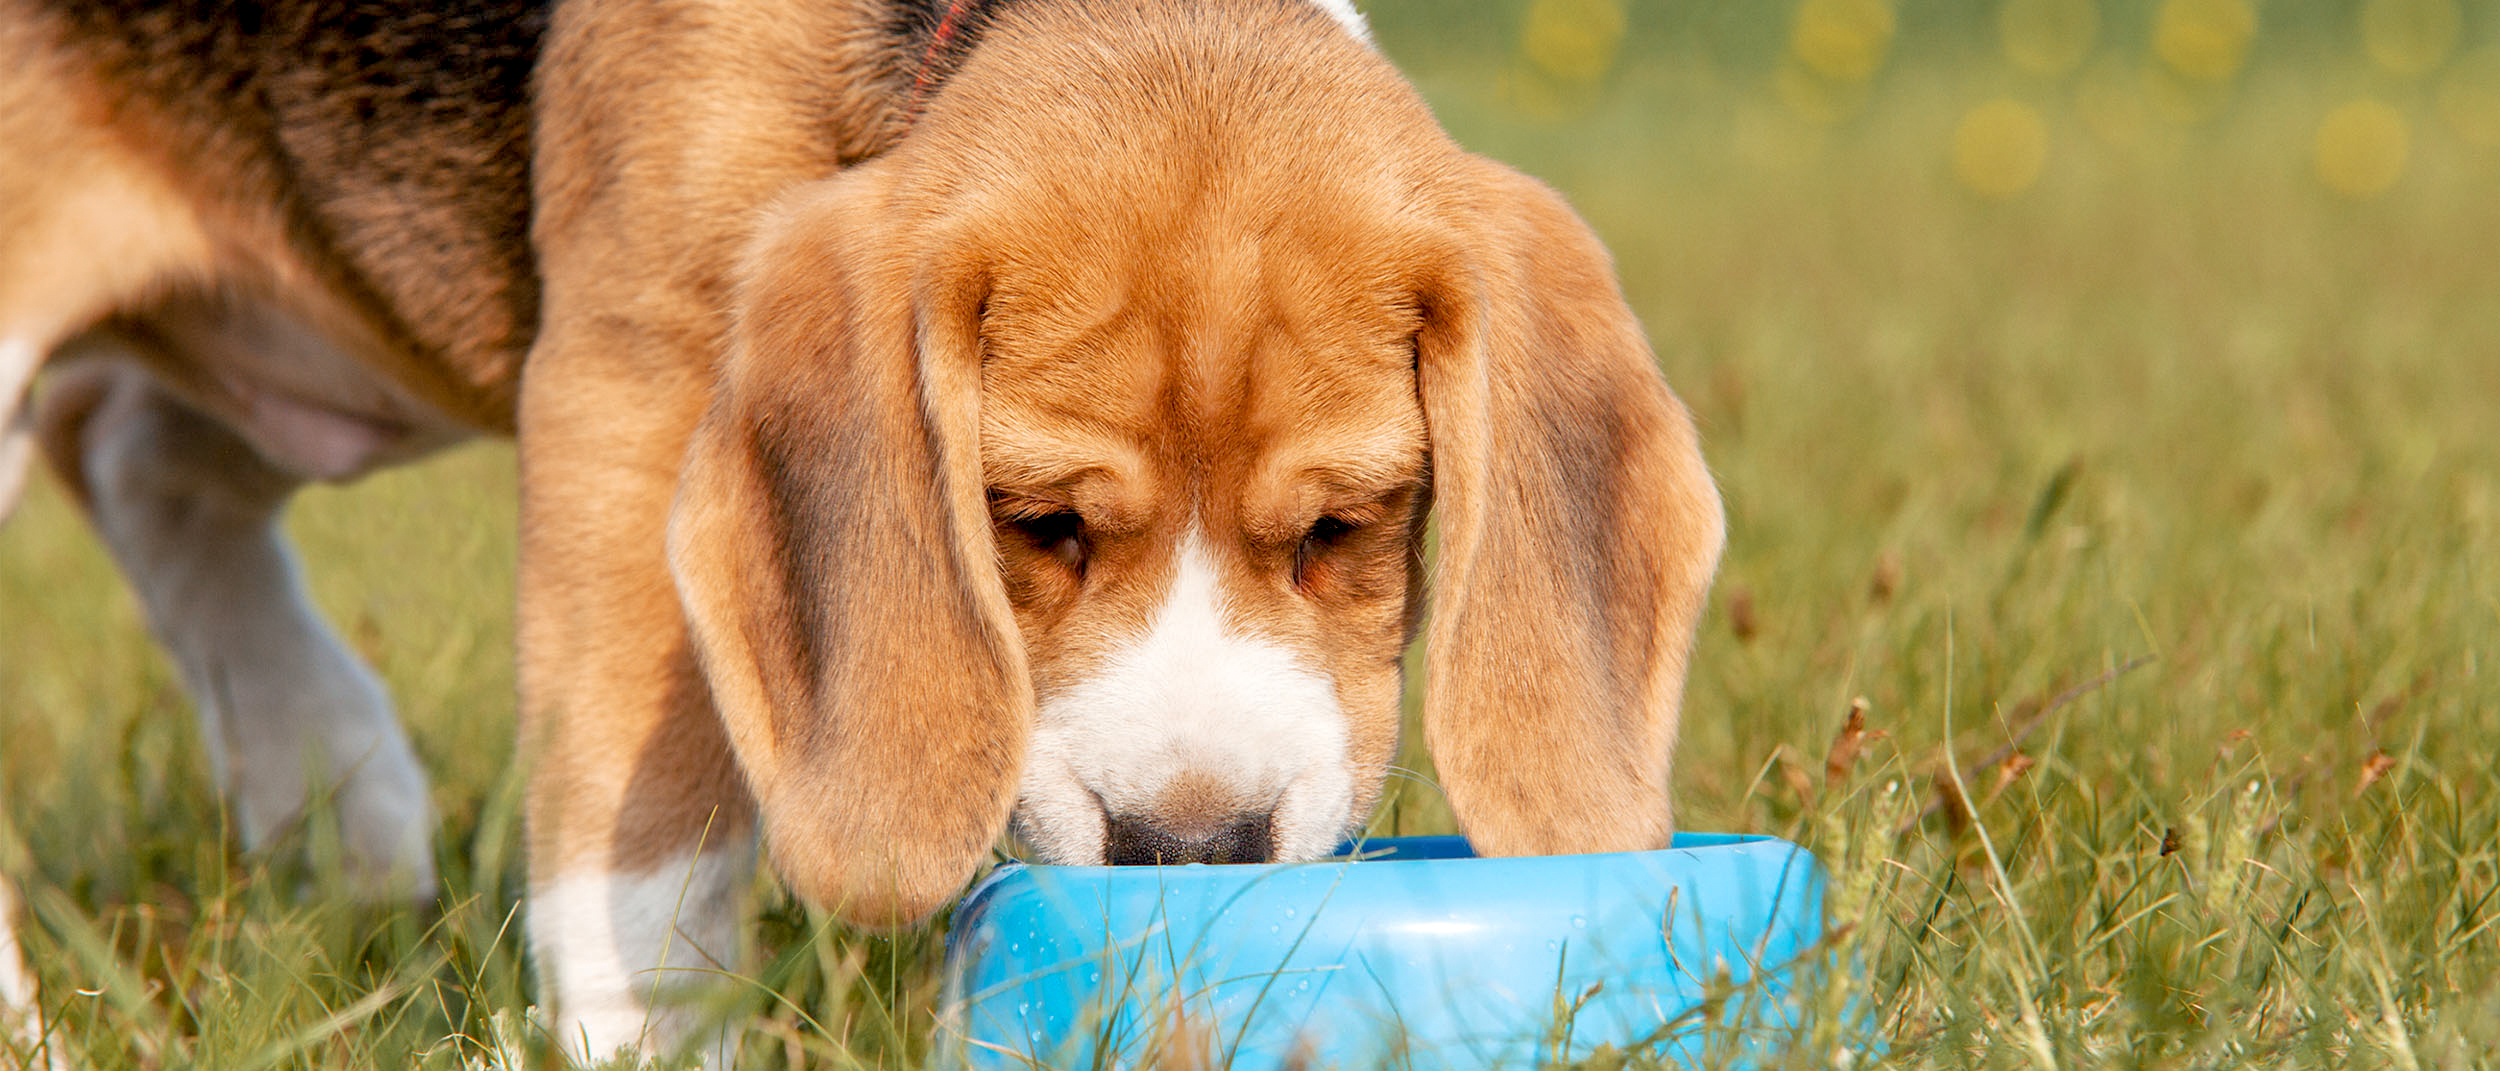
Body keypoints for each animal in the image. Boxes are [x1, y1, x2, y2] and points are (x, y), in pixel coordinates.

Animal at [0, 0, 1720, 1055]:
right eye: (1036, 522)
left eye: (1347, 524)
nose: (1190, 851)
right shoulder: (632, 391)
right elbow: (643, 850)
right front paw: (643, 1042)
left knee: (139, 450)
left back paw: (335, 794)